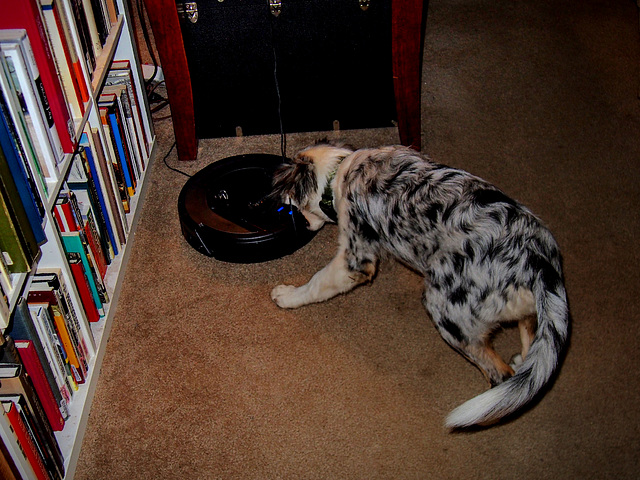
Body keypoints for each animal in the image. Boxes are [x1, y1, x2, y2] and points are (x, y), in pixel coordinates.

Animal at [268, 140, 568, 428]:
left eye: (291, 207)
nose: (303, 227)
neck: (341, 169)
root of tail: (539, 260)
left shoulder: (354, 257)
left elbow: (317, 283)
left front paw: (287, 295)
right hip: (525, 308)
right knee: (530, 339)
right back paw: (523, 364)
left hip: (447, 312)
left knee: (500, 376)